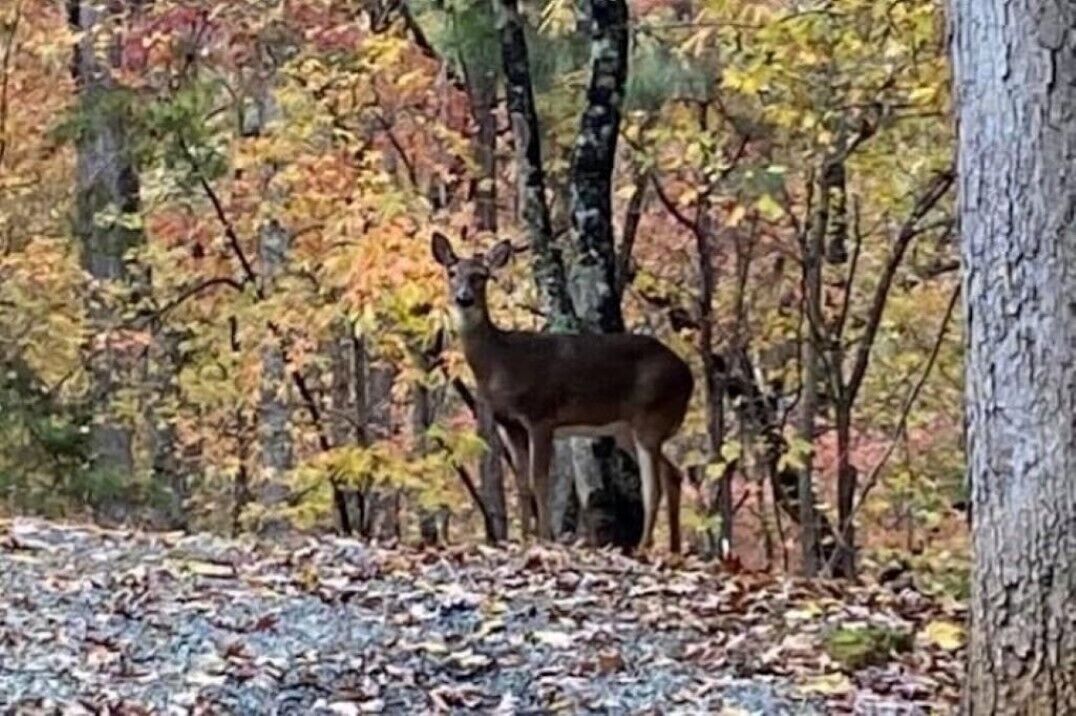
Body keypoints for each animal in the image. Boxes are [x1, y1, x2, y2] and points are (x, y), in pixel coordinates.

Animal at [431, 232, 694, 552]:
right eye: (451, 272)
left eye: (481, 276)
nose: (463, 298)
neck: (500, 362)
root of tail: (688, 375)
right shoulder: (509, 424)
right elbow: (521, 482)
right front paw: (525, 538)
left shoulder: (541, 415)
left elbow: (540, 479)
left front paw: (545, 537)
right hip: (627, 429)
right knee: (673, 473)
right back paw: (674, 548)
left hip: (651, 416)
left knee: (652, 486)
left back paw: (644, 546)